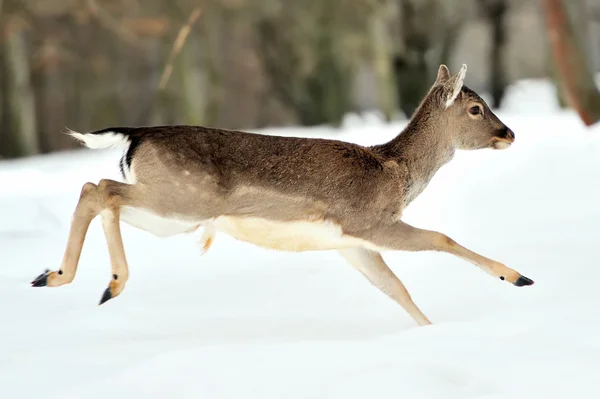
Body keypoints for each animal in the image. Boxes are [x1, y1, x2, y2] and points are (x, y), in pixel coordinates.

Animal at [30, 65, 532, 328]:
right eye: (476, 108)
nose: (508, 133)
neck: (395, 173)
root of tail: (136, 135)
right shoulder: (368, 221)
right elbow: (442, 238)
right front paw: (518, 278)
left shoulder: (351, 243)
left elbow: (396, 289)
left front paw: (428, 332)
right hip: (182, 201)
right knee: (101, 189)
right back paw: (110, 282)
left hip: (171, 213)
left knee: (96, 190)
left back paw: (54, 276)